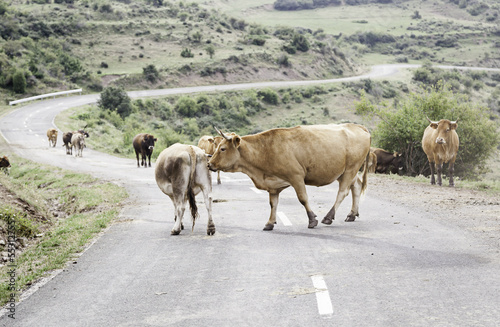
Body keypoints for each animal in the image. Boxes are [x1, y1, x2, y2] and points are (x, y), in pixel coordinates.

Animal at [207, 124, 372, 232]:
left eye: (222, 149)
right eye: (217, 147)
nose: (209, 164)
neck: (265, 150)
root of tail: (357, 126)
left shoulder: (296, 176)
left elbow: (303, 198)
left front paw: (312, 220)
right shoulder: (273, 185)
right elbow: (273, 204)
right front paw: (270, 222)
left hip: (351, 168)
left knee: (343, 192)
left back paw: (328, 217)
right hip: (344, 171)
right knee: (356, 186)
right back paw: (352, 214)